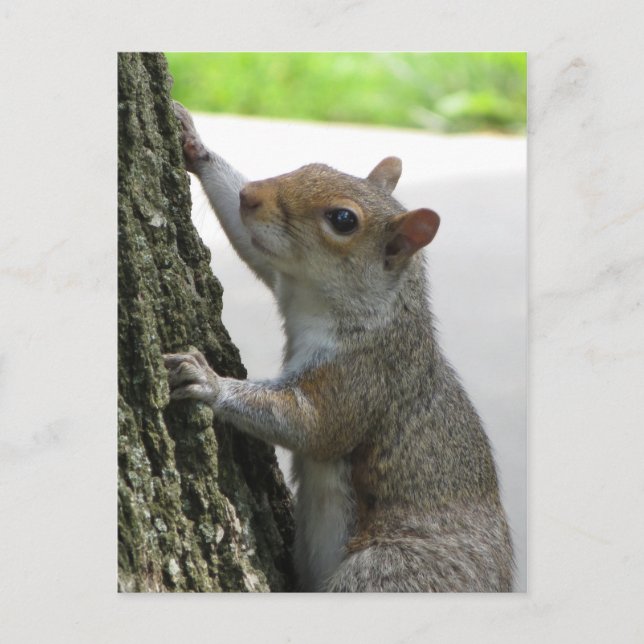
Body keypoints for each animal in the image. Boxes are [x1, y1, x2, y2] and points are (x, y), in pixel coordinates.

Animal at [164, 102, 514, 592]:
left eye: (343, 220)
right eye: (314, 166)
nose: (251, 194)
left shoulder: (365, 375)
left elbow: (313, 423)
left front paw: (209, 381)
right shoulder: (283, 280)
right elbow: (246, 240)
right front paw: (195, 144)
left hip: (392, 571)